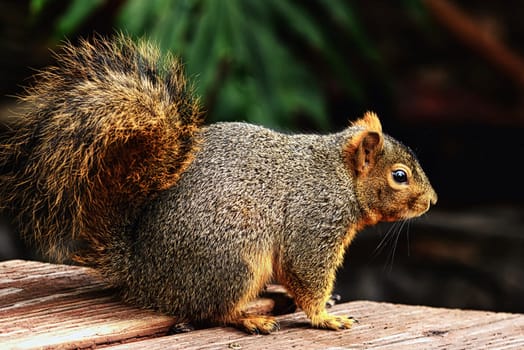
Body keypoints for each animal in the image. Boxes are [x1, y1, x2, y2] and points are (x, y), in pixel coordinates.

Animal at [0, 34, 438, 334]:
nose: (432, 201)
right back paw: (249, 320)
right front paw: (326, 317)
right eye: (399, 176)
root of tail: (140, 272)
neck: (340, 176)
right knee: (213, 310)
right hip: (234, 259)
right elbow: (305, 271)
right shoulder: (314, 224)